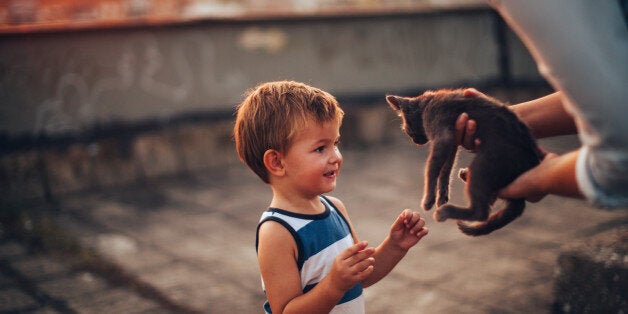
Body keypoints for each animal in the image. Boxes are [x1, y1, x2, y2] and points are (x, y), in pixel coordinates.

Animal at [388, 88, 540, 236]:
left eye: (407, 131)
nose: (415, 142)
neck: (427, 104)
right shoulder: (452, 142)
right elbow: (446, 169)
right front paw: (442, 195)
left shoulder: (443, 137)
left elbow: (432, 169)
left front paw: (428, 199)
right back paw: (464, 175)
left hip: (484, 163)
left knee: (481, 212)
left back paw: (446, 211)